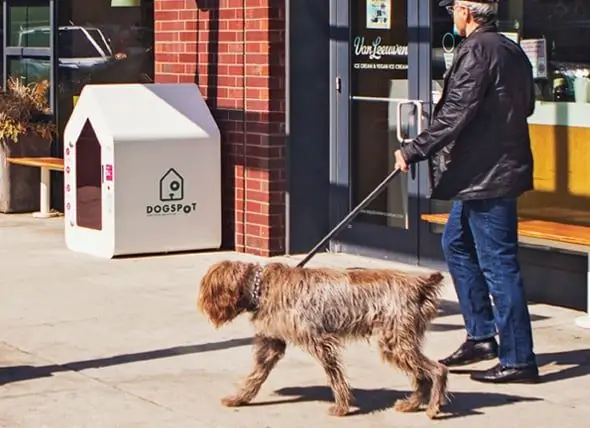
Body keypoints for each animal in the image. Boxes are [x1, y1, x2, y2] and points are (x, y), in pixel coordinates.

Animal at [198, 260, 448, 418]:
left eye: (209, 290)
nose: (202, 306)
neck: (261, 288)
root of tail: (419, 284)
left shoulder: (320, 342)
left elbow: (335, 377)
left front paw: (341, 408)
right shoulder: (272, 344)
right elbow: (255, 376)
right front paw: (239, 398)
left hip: (395, 343)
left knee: (437, 370)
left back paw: (432, 408)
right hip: (398, 344)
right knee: (422, 377)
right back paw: (411, 404)